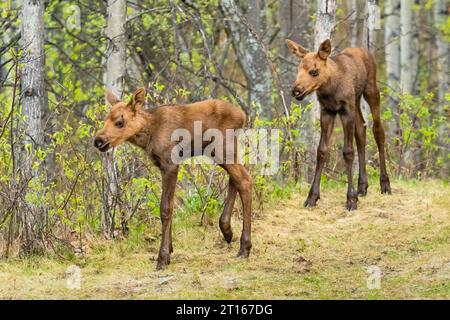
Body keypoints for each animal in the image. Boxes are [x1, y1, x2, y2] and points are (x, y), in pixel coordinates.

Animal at [94, 88, 253, 270]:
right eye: (106, 119)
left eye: (120, 122)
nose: (98, 141)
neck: (148, 134)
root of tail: (242, 116)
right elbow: (169, 207)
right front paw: (169, 250)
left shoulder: (170, 164)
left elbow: (166, 209)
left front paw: (163, 258)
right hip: (220, 152)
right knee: (236, 178)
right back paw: (227, 230)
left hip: (222, 149)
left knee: (244, 180)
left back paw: (244, 247)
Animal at [286, 38, 392, 211]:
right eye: (298, 69)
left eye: (314, 71)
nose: (296, 90)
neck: (330, 89)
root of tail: (364, 50)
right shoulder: (327, 111)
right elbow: (322, 150)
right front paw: (312, 197)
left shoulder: (345, 110)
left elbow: (348, 152)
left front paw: (351, 199)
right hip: (355, 100)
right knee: (361, 129)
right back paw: (362, 186)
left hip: (371, 90)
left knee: (378, 131)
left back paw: (385, 184)